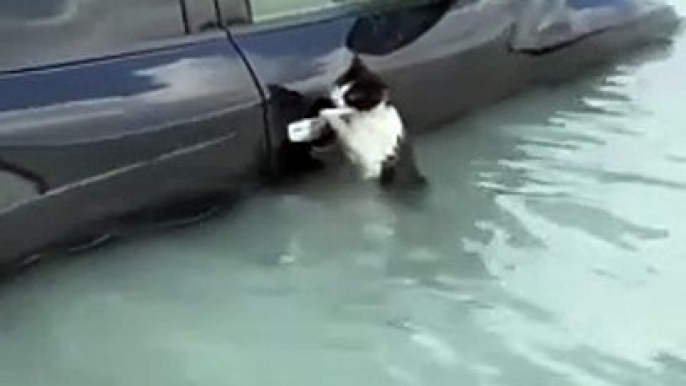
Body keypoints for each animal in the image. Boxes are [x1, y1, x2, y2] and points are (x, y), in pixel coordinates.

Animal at [288, 56, 428, 189]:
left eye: (351, 97)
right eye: (339, 85)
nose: (336, 98)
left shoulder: (360, 143)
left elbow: (338, 124)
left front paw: (327, 113)